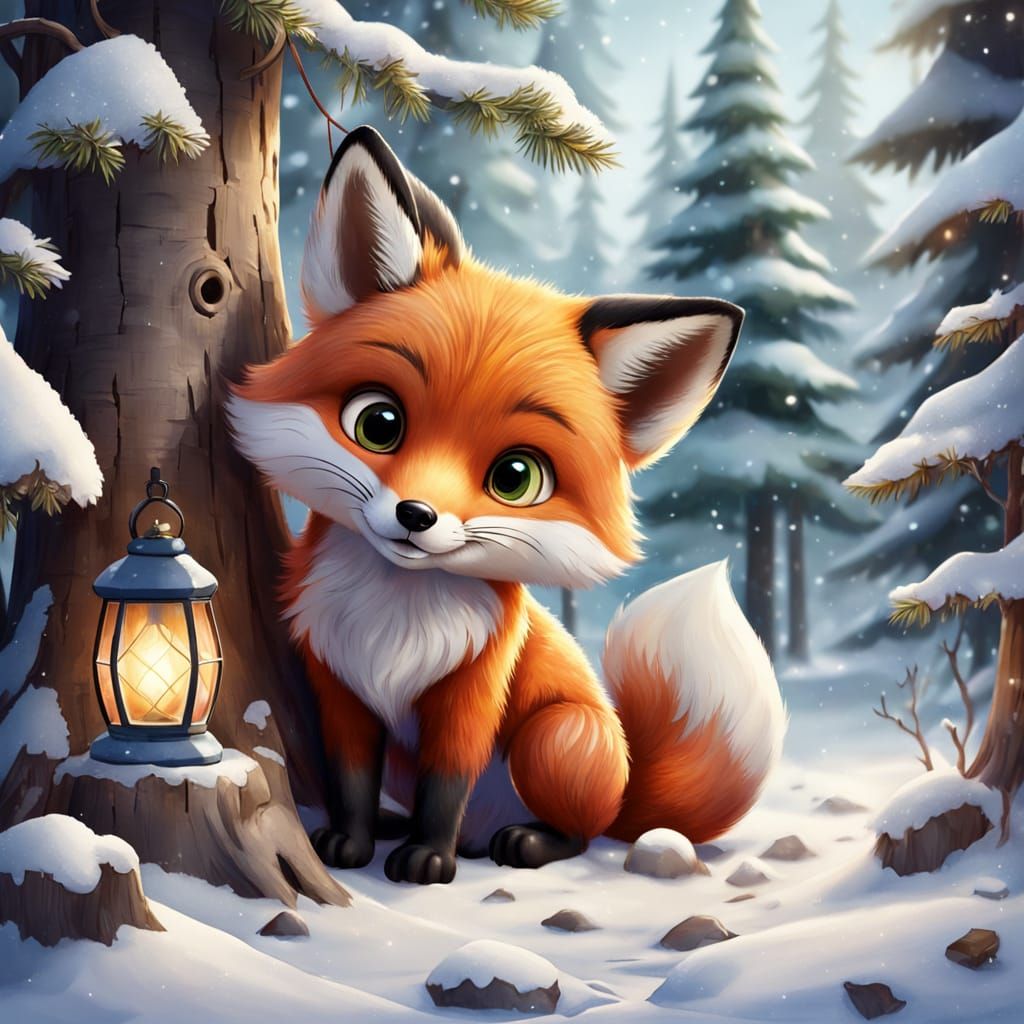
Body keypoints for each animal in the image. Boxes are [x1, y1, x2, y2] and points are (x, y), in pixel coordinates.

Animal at [227, 126, 785, 885]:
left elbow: (447, 783)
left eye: (516, 477)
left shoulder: (473, 688)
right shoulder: (339, 686)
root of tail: (628, 780)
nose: (416, 516)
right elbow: (349, 779)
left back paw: (519, 842)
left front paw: (428, 859)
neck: (390, 620)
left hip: (552, 738)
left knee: (581, 831)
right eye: (378, 423)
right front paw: (351, 840)